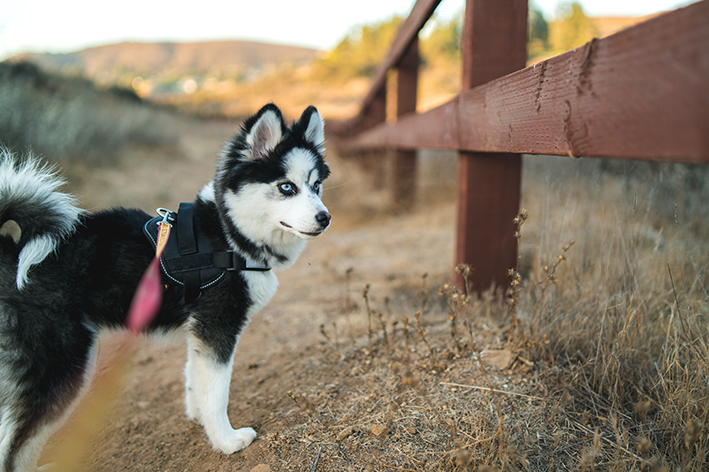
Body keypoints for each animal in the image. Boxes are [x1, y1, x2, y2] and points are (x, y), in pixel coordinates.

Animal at [0, 104, 330, 472]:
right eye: (286, 187)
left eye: (316, 186)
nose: (325, 218)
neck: (228, 233)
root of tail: (14, 251)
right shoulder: (218, 325)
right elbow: (217, 391)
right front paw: (226, 441)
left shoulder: (200, 328)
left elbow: (195, 377)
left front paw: (200, 418)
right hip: (60, 365)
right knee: (14, 443)